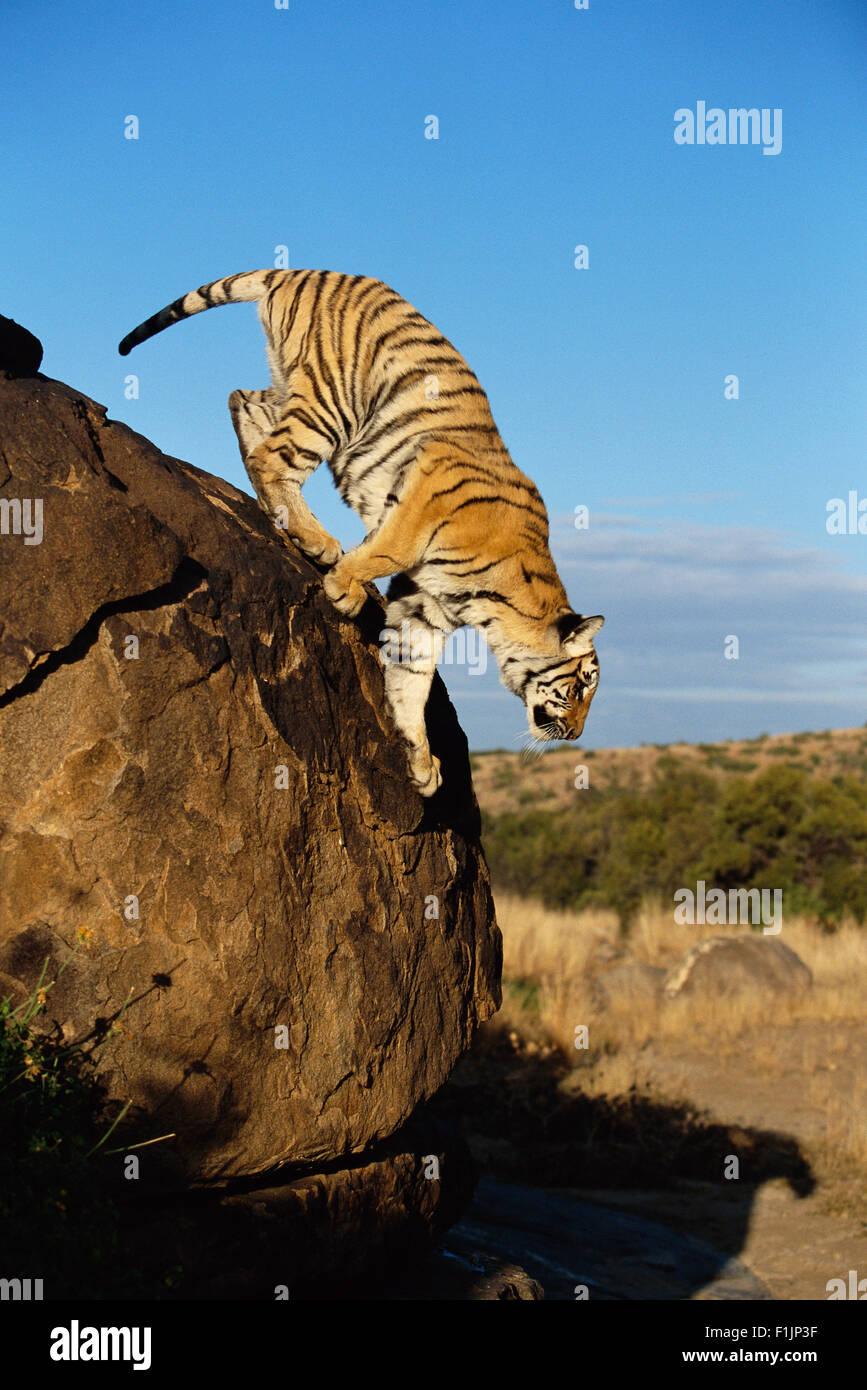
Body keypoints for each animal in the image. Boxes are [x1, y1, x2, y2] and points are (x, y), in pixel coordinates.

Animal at [120, 269, 603, 795]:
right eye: (581, 685)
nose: (576, 734)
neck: (496, 611)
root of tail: (302, 271)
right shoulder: (427, 485)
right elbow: (389, 550)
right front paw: (344, 589)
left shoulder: (425, 610)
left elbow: (411, 680)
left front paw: (422, 763)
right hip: (333, 402)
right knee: (273, 455)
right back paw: (317, 542)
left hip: (291, 388)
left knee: (242, 402)